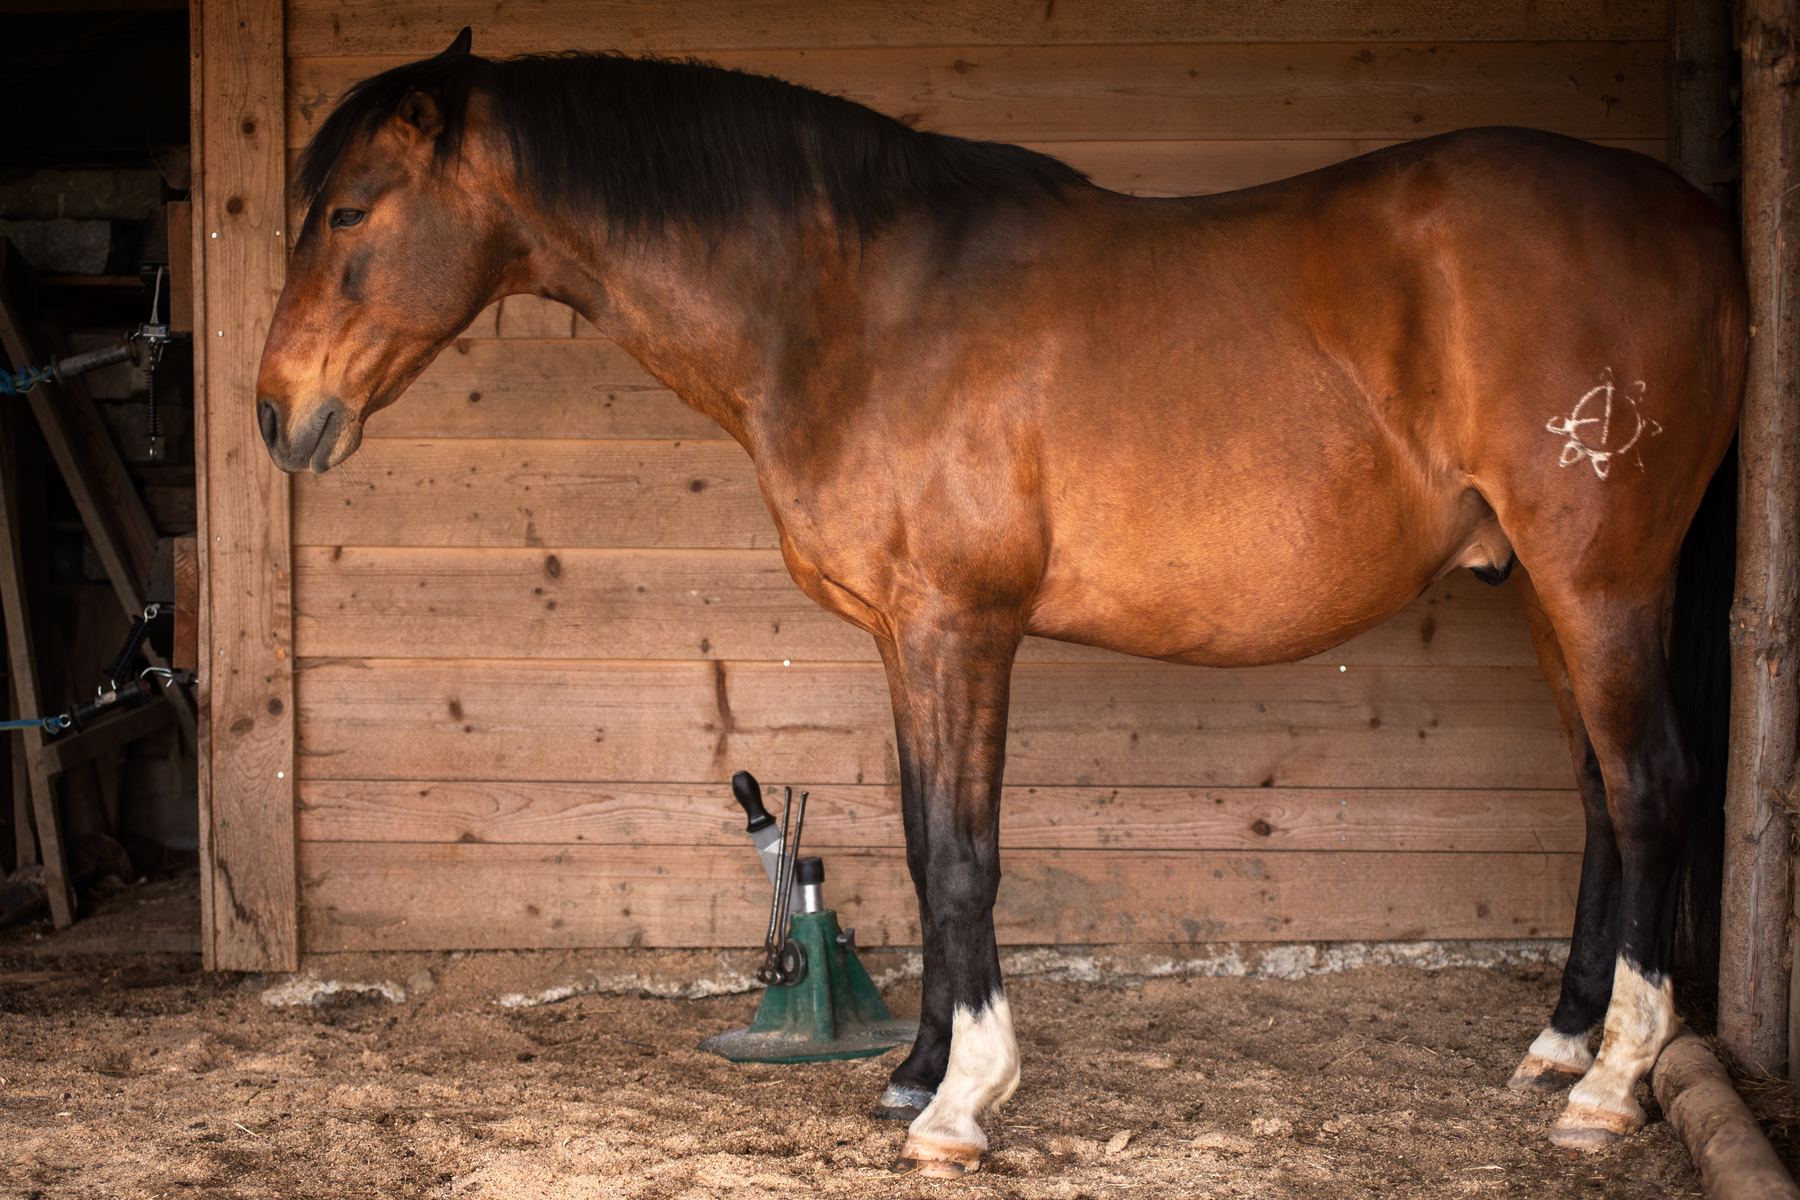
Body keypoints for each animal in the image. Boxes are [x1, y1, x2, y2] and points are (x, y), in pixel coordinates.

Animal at [255, 30, 1746, 1177]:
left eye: (350, 211)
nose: (277, 414)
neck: (854, 303)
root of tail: (1695, 221)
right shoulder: (907, 639)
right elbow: (926, 848)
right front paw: (918, 1069)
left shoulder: (956, 629)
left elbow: (965, 855)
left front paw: (965, 1100)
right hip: (1545, 592)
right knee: (1603, 798)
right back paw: (1558, 1045)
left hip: (1601, 583)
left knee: (1653, 788)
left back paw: (1611, 1087)